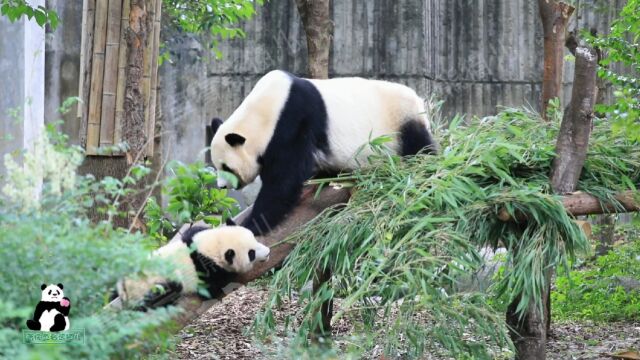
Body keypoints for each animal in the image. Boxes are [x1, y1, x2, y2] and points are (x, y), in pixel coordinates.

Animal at [118, 219, 270, 310]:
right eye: (251, 253)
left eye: (254, 239)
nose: (268, 252)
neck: (210, 249)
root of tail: (124, 290)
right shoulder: (207, 271)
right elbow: (212, 288)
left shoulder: (192, 236)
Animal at [210, 70, 436, 235]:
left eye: (226, 167)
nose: (221, 186)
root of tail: (419, 98)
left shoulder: (292, 124)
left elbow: (283, 183)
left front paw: (246, 225)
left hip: (401, 120)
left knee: (420, 147)